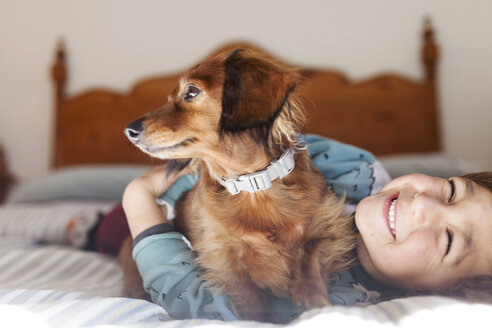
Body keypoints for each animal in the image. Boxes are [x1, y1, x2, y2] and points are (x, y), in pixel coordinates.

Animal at [124, 50, 358, 322]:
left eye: (191, 91)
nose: (129, 130)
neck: (254, 186)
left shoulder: (331, 226)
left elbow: (312, 255)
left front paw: (313, 298)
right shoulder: (223, 258)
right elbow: (250, 298)